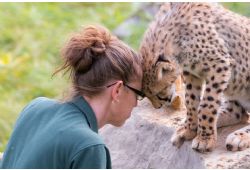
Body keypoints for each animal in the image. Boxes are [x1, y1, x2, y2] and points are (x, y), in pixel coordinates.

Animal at [140, 1, 250, 152]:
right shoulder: (191, 73)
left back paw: (239, 136)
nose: (159, 106)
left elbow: (207, 105)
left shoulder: (219, 65)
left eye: (157, 92)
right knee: (238, 113)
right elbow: (191, 101)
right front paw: (189, 129)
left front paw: (204, 139)